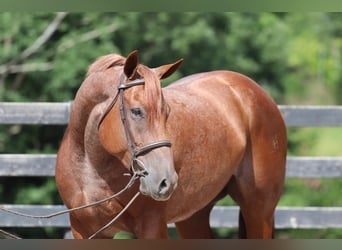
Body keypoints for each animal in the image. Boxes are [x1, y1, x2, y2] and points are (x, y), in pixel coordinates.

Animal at [55, 50, 286, 238]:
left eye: (167, 112)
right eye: (136, 111)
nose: (166, 181)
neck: (91, 170)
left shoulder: (152, 227)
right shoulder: (84, 230)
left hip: (259, 212)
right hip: (193, 217)